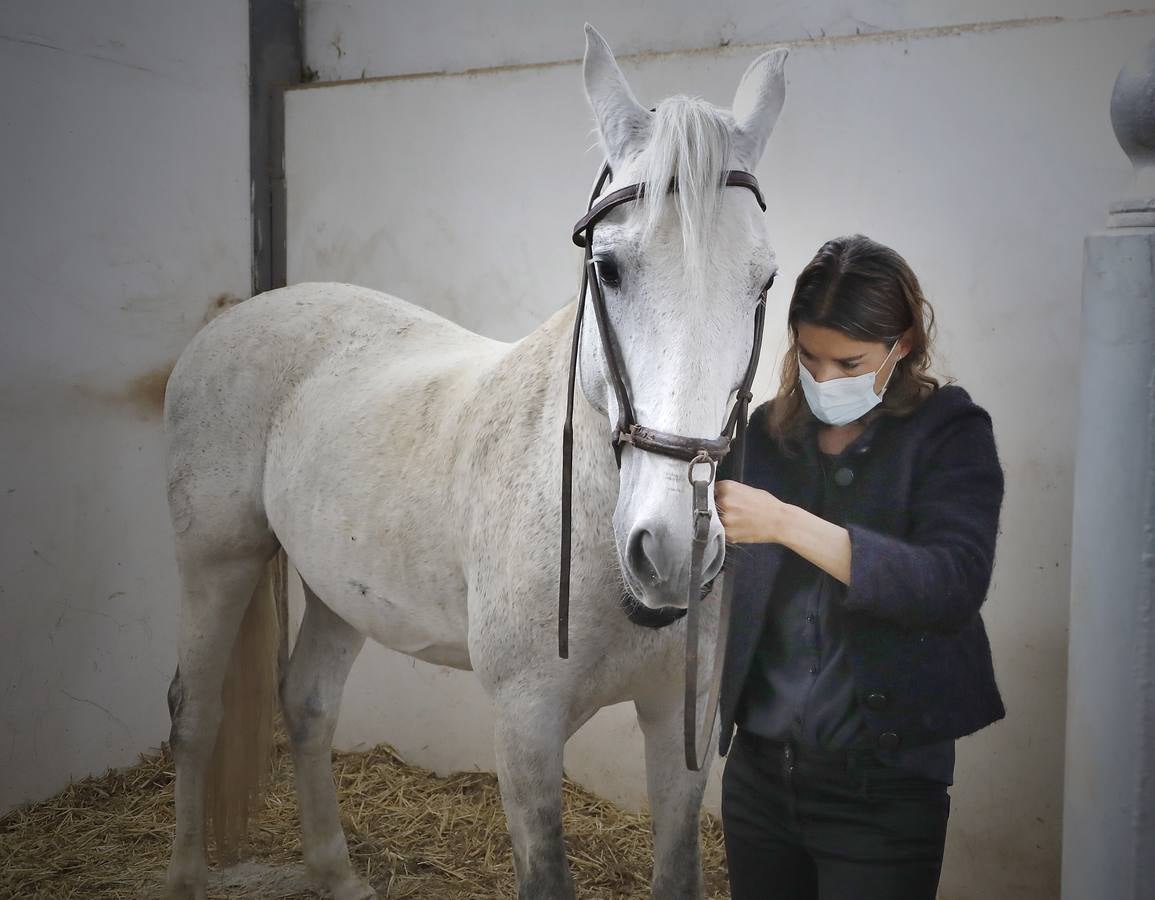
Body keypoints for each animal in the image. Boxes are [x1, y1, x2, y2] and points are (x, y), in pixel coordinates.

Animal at [162, 24, 790, 896]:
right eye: (608, 267)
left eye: (764, 281)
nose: (672, 550)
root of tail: (233, 317)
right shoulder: (524, 731)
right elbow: (545, 872)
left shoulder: (678, 720)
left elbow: (677, 872)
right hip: (215, 562)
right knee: (196, 713)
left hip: (337, 588)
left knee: (307, 703)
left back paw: (336, 872)